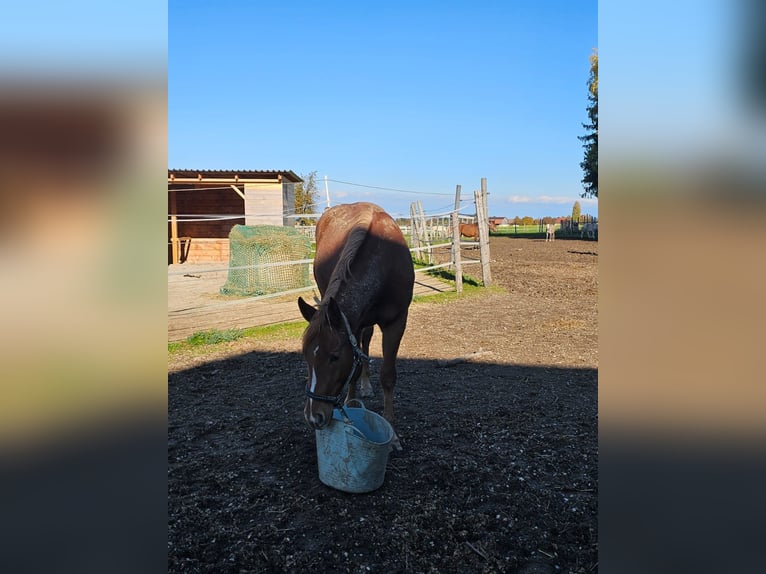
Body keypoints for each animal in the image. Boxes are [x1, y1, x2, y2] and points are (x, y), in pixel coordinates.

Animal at [297, 202, 414, 441]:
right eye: (305, 356)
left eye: (334, 357)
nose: (313, 417)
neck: (384, 263)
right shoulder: (354, 323)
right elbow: (355, 366)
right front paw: (351, 404)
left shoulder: (397, 322)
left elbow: (388, 375)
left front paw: (391, 429)